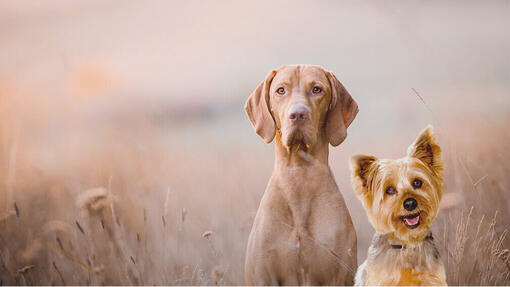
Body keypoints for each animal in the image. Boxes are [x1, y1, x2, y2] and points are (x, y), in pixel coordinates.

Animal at [244, 64, 356, 286]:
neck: (298, 174)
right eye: (280, 90)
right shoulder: (263, 276)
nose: (297, 114)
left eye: (317, 89)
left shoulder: (335, 275)